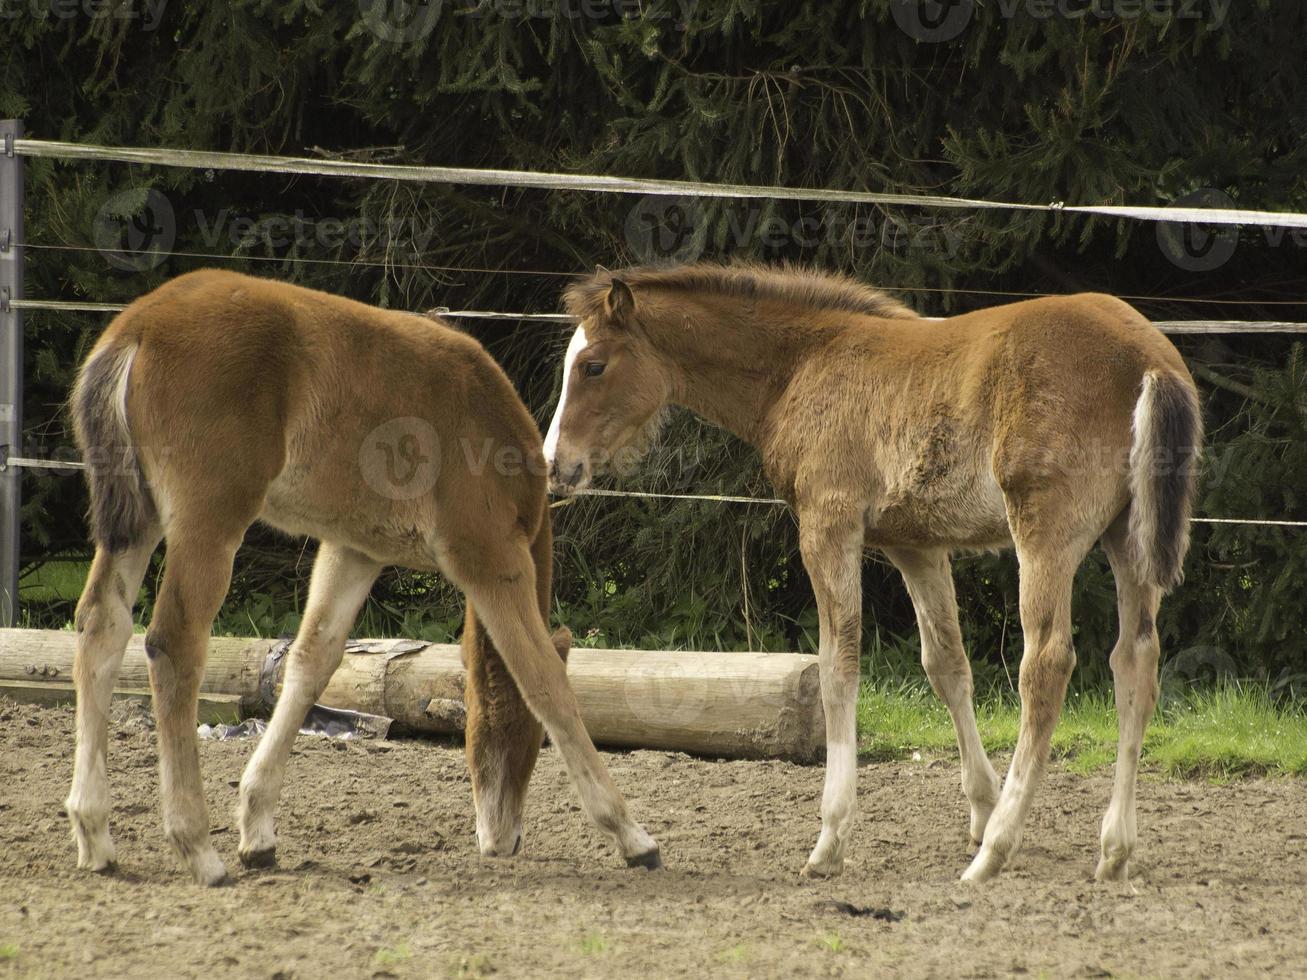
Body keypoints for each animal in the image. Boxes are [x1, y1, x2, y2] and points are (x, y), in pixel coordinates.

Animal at [66, 270, 658, 888]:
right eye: (531, 741)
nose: (503, 841)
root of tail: (135, 329)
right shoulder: (489, 554)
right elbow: (544, 679)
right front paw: (630, 835)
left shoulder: (354, 550)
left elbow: (311, 663)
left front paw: (258, 830)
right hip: (209, 520)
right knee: (172, 644)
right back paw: (197, 848)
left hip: (136, 522)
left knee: (101, 628)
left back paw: (94, 834)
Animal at [546, 261, 1197, 883]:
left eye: (594, 366)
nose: (556, 465)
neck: (801, 368)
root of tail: (1150, 359)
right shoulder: (916, 545)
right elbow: (946, 666)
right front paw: (980, 813)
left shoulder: (828, 525)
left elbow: (839, 666)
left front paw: (831, 840)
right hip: (1128, 539)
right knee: (1134, 662)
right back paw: (1112, 851)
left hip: (1045, 533)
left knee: (1047, 664)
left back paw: (994, 856)